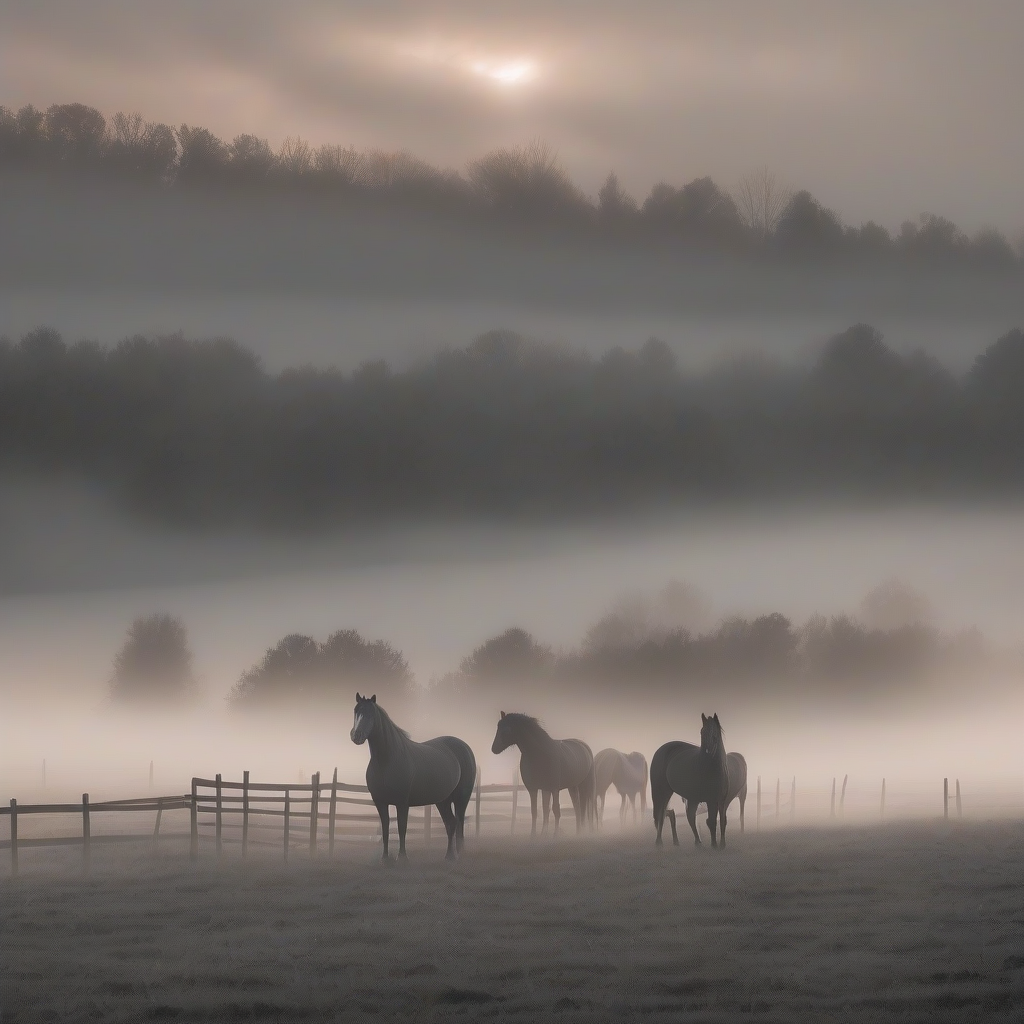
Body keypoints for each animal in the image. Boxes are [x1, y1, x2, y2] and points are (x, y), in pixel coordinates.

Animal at [348, 692, 475, 860]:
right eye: (355, 711)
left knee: (459, 822)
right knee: (451, 823)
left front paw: (402, 858)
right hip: (443, 800)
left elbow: (402, 827)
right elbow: (385, 828)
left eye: (371, 714)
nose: (357, 735)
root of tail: (464, 747)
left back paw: (459, 855)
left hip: (462, 797)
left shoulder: (402, 803)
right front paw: (385, 858)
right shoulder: (380, 802)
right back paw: (448, 856)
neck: (386, 761)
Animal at [655, 712, 745, 847]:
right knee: (662, 813)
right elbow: (712, 821)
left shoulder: (722, 800)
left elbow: (722, 820)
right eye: (702, 732)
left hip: (692, 798)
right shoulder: (711, 800)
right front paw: (714, 845)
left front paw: (722, 844)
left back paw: (695, 842)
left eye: (714, 733)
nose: (708, 751)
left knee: (688, 816)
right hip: (665, 791)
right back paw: (660, 842)